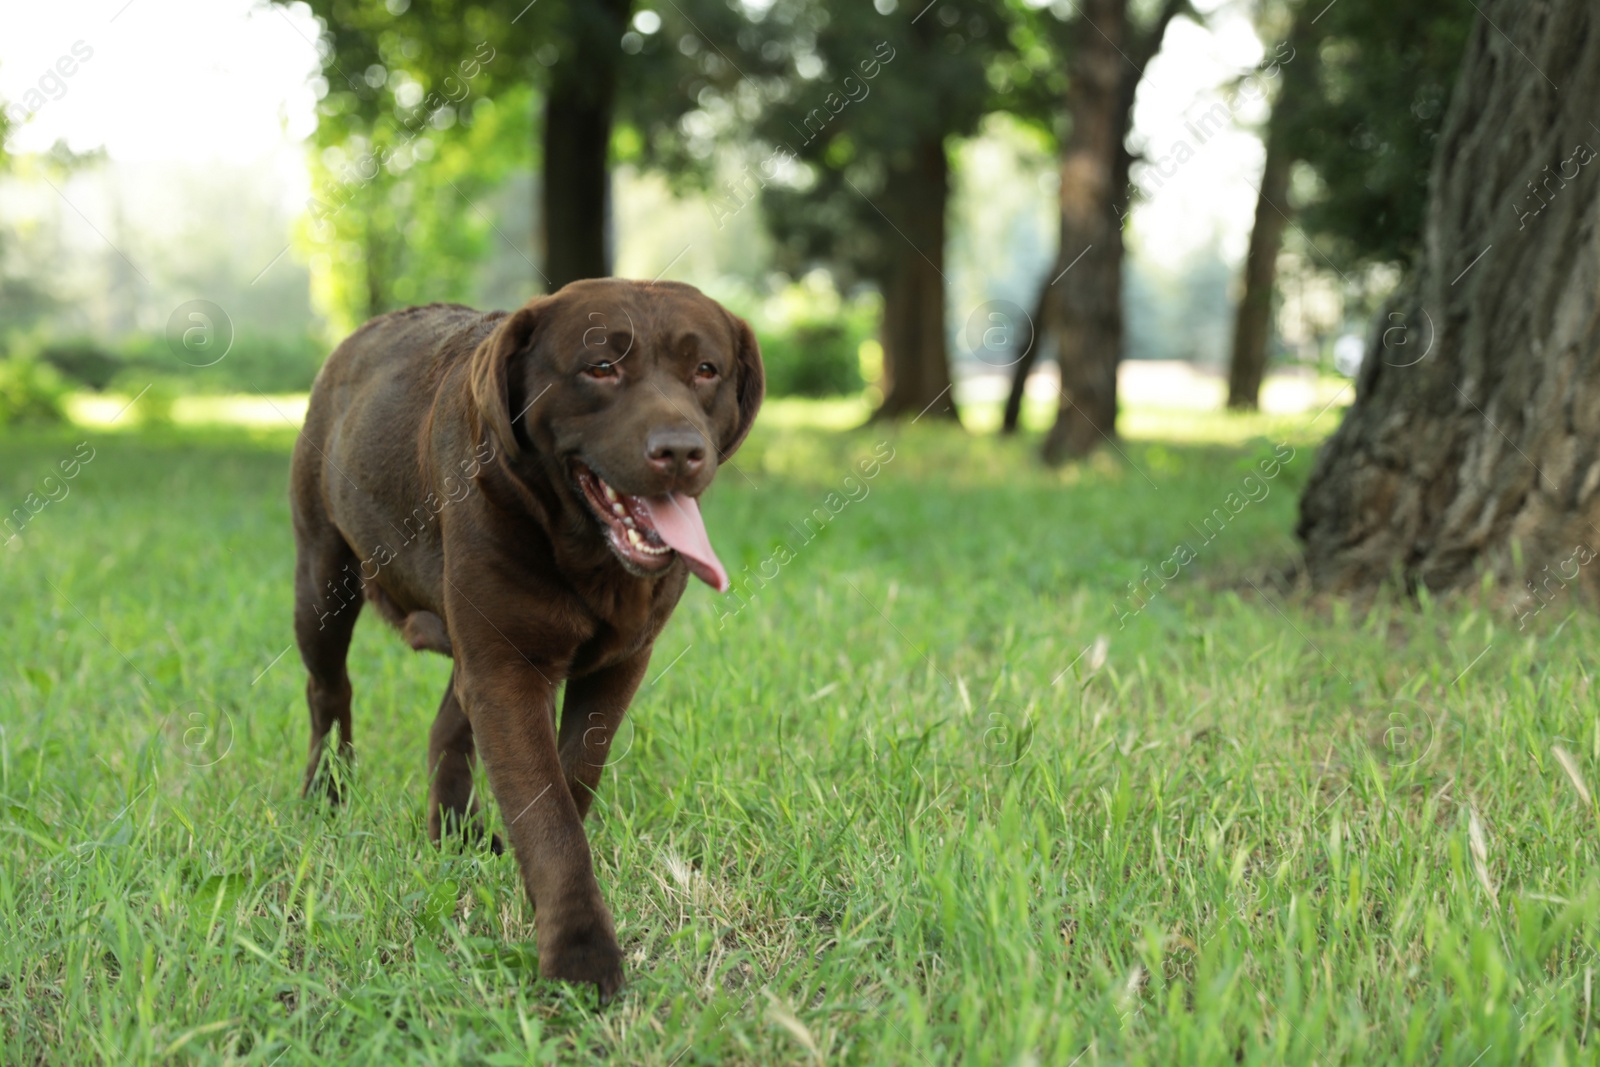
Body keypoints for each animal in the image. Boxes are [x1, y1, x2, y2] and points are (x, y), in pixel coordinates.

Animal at [291, 278, 764, 1004]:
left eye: (706, 370)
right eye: (601, 367)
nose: (681, 450)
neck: (586, 556)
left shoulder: (616, 664)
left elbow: (569, 780)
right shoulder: (505, 670)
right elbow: (549, 816)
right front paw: (580, 952)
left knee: (445, 723)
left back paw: (453, 831)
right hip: (321, 579)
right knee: (329, 692)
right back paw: (327, 793)